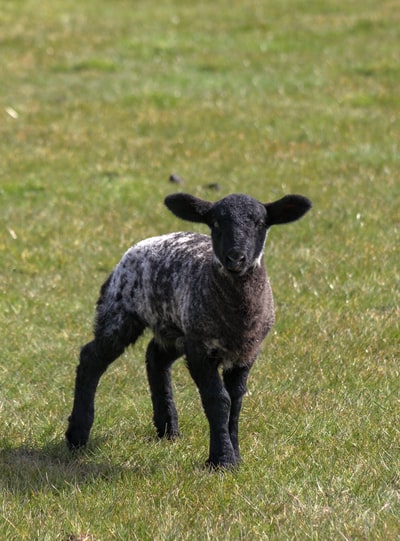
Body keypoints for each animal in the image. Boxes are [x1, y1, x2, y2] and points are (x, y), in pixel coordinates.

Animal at [65, 192, 310, 466]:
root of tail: (140, 245)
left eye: (259, 223)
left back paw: (167, 428)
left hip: (174, 327)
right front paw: (222, 459)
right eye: (215, 222)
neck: (237, 316)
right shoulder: (200, 350)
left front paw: (235, 454)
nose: (235, 258)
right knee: (91, 358)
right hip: (120, 311)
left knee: (155, 358)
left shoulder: (246, 352)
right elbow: (218, 399)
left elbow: (236, 400)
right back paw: (77, 434)